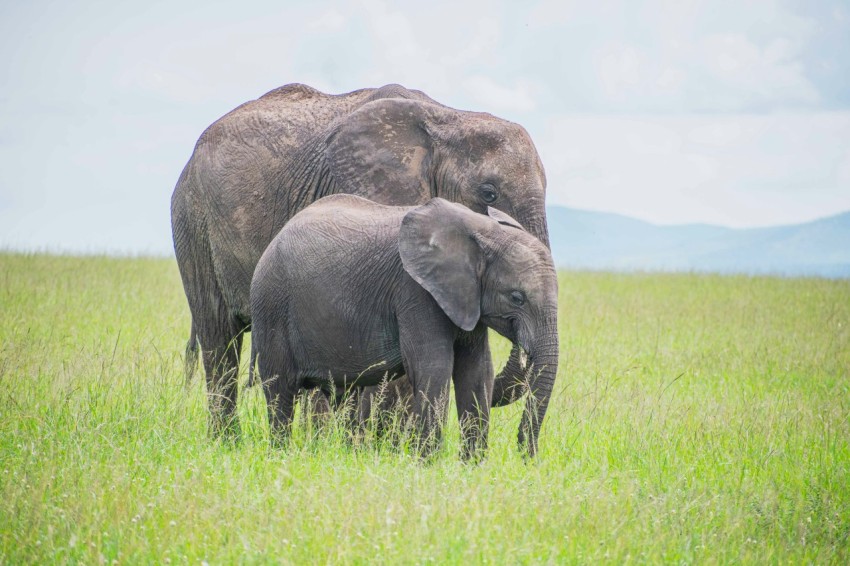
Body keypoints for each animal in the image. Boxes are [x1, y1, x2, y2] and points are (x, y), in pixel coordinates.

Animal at [248, 195, 560, 462]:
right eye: (517, 298)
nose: (527, 457)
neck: (482, 231)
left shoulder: (466, 298)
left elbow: (477, 371)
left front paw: (472, 466)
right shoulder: (415, 292)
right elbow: (433, 366)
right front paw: (429, 465)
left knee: (345, 395)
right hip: (272, 306)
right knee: (280, 392)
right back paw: (280, 456)